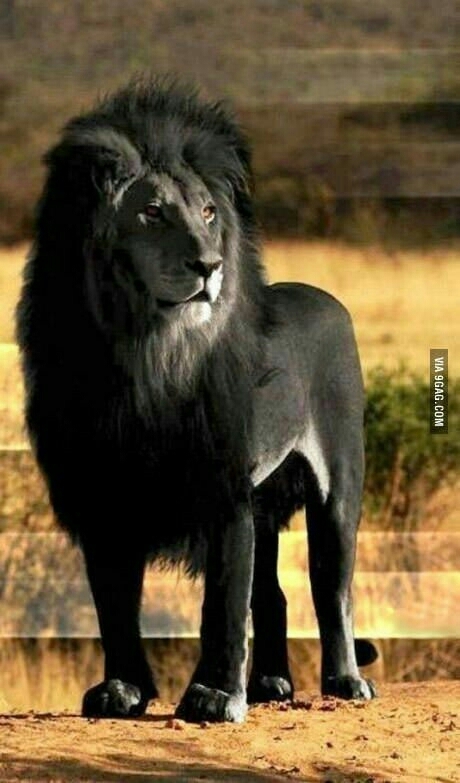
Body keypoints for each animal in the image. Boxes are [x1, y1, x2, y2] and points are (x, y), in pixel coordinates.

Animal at [16, 77, 376, 723]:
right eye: (152, 212)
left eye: (209, 213)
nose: (209, 265)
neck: (145, 356)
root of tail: (325, 296)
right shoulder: (101, 495)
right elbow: (114, 606)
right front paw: (123, 690)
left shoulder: (224, 487)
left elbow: (223, 604)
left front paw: (212, 697)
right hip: (265, 504)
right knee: (275, 595)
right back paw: (271, 684)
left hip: (337, 485)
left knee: (332, 587)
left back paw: (343, 682)